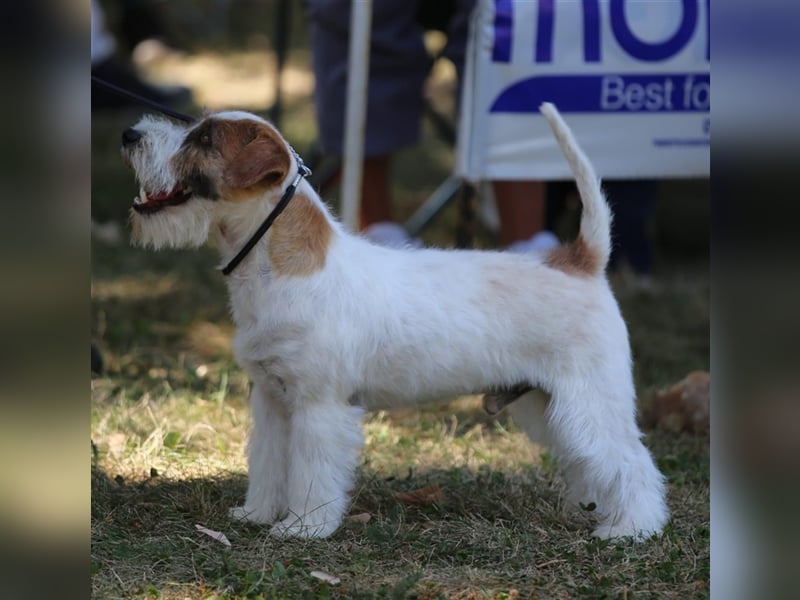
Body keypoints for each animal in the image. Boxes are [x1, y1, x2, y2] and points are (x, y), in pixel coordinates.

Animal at [120, 102, 668, 540]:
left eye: (204, 139)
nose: (129, 134)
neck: (280, 270)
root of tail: (581, 260)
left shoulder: (319, 407)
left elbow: (311, 474)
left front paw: (303, 527)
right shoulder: (272, 402)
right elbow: (269, 466)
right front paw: (256, 514)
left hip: (590, 401)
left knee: (631, 462)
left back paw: (630, 529)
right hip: (547, 404)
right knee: (590, 462)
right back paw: (593, 511)